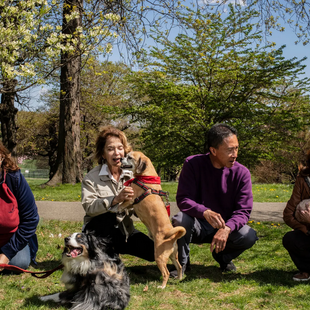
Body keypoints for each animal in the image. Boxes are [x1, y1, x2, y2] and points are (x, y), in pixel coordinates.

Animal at [120, 151, 185, 290]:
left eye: (129, 157)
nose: (121, 158)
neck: (146, 176)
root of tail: (172, 237)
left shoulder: (130, 199)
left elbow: (122, 204)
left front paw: (116, 207)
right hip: (173, 256)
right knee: (179, 266)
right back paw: (179, 278)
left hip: (159, 257)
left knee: (166, 272)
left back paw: (162, 286)